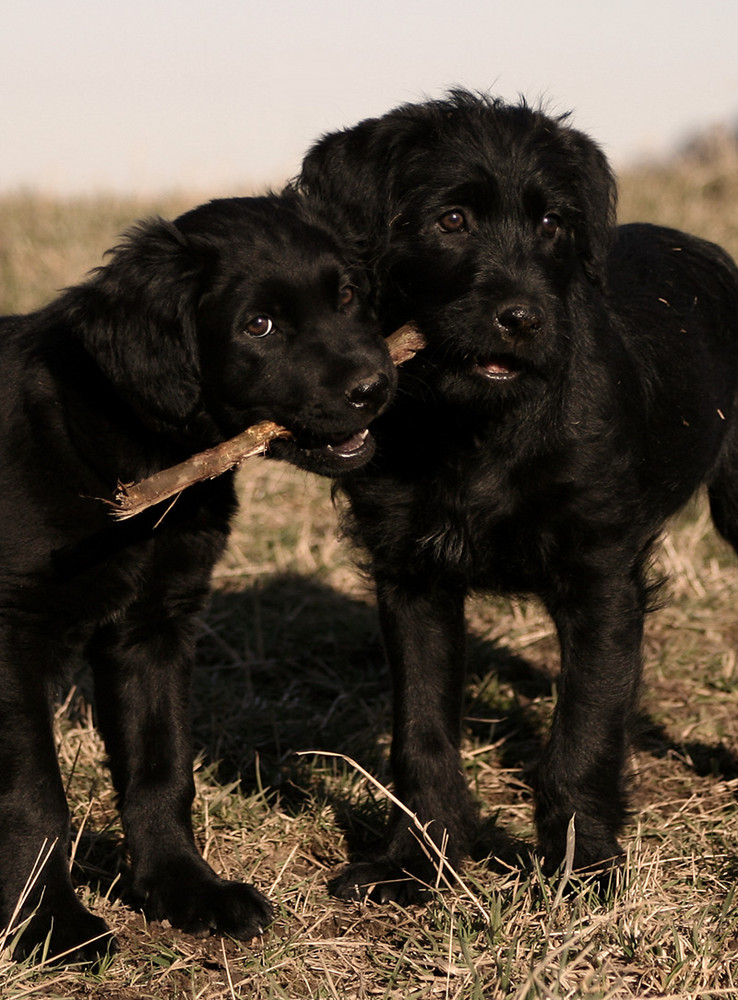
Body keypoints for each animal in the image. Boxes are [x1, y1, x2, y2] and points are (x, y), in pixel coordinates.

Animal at [0, 195, 396, 960]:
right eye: (258, 325)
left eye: (346, 296)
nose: (376, 387)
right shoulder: (11, 638)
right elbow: (32, 796)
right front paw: (49, 924)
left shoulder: (154, 626)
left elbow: (161, 767)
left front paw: (185, 889)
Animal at [296, 88, 736, 900]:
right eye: (451, 220)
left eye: (552, 223)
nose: (524, 318)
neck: (479, 426)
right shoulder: (414, 581)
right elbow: (422, 733)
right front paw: (419, 861)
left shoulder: (602, 582)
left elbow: (584, 734)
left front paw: (582, 871)